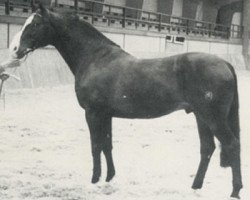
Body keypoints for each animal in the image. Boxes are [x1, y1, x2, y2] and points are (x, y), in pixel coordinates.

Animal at [7, 4, 242, 198]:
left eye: (35, 24)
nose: (16, 50)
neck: (95, 58)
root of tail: (224, 63)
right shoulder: (106, 115)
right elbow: (107, 145)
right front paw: (109, 177)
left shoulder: (92, 113)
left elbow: (95, 145)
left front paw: (94, 180)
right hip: (201, 117)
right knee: (207, 148)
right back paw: (195, 186)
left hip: (212, 118)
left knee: (232, 144)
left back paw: (235, 191)